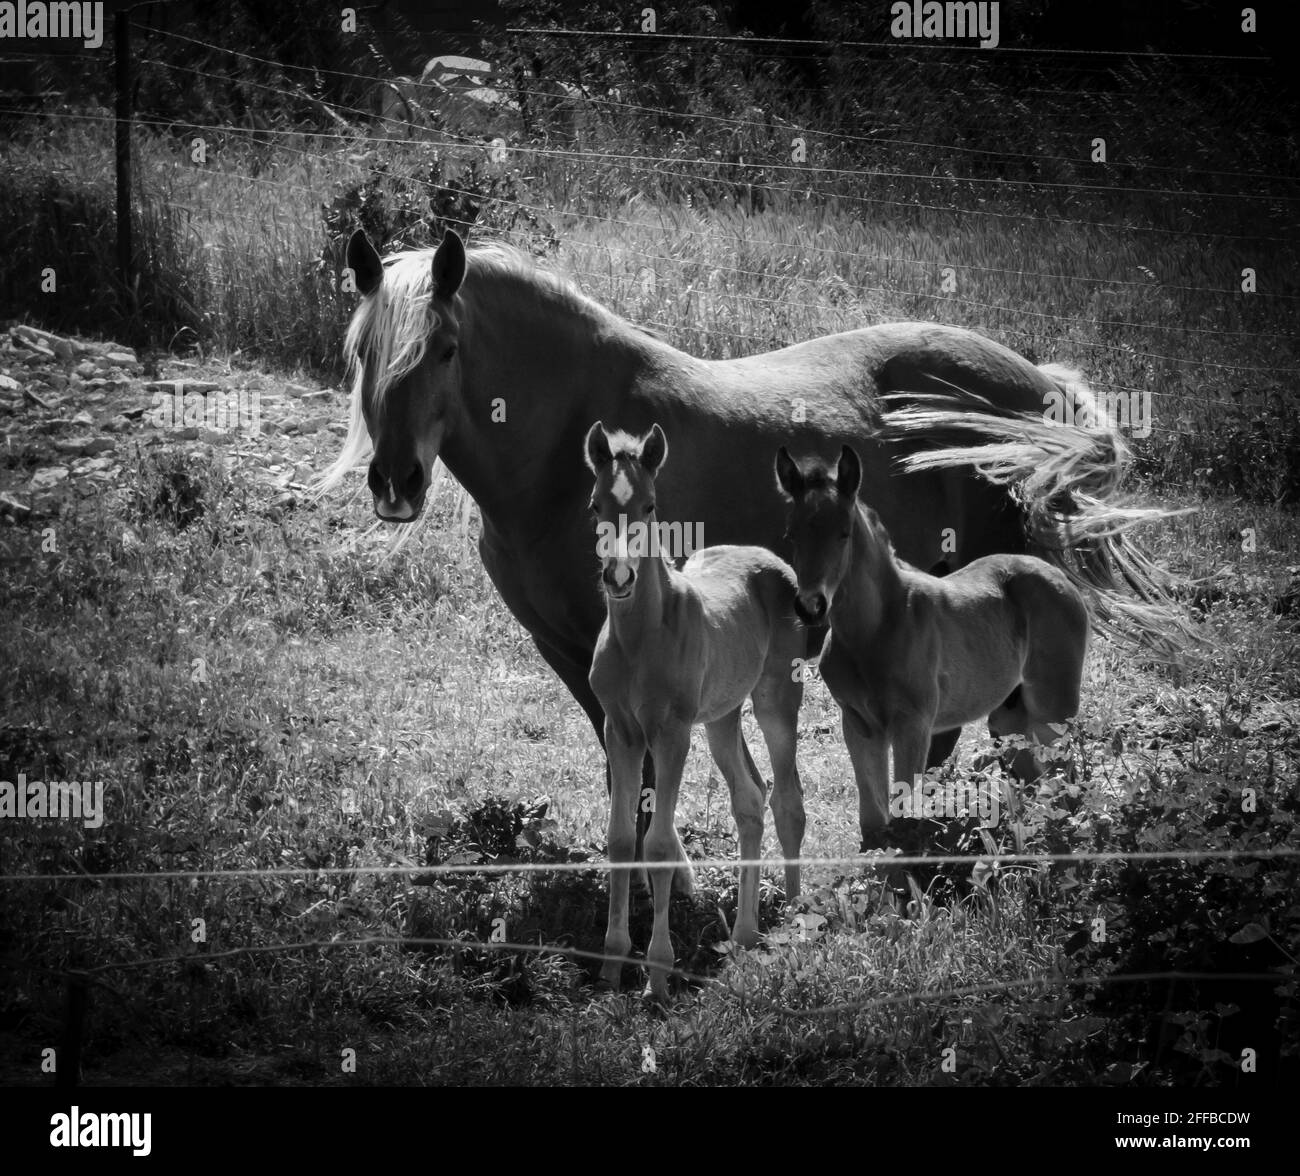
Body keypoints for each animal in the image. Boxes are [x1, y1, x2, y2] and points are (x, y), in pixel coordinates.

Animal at [319, 227, 1185, 836]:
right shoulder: (567, 649)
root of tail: (1044, 385)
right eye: (363, 350)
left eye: (445, 349)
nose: (394, 483)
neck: (569, 447)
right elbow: (618, 766)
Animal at [587, 421, 806, 997]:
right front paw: (612, 963)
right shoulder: (621, 730)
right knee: (750, 798)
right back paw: (746, 934)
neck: (640, 638)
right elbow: (621, 838)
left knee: (788, 800)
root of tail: (771, 560)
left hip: (776, 700)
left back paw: (798, 919)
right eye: (596, 504)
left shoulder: (671, 733)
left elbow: (660, 843)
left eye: (649, 504)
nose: (619, 578)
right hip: (722, 718)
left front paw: (658, 974)